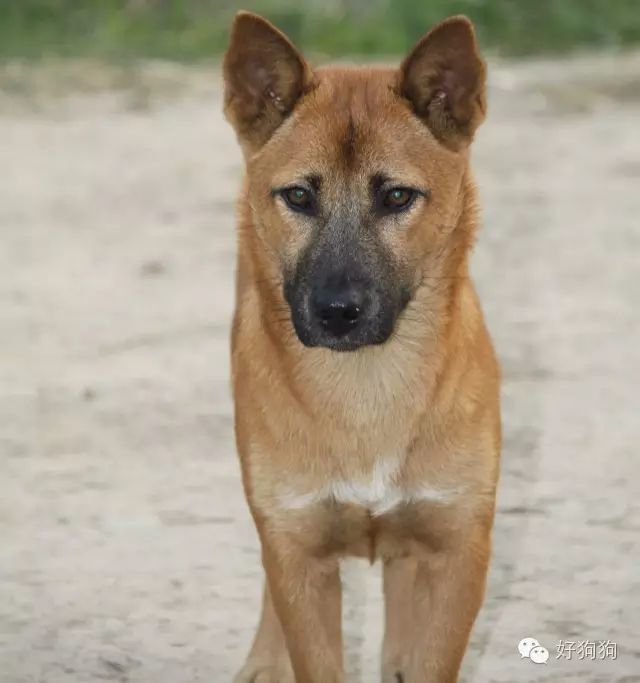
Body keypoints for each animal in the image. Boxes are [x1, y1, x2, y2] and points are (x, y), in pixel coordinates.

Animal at [224, 12, 500, 683]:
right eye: (298, 196)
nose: (337, 312)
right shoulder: (298, 551)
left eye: (397, 196)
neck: (366, 389)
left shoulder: (458, 550)